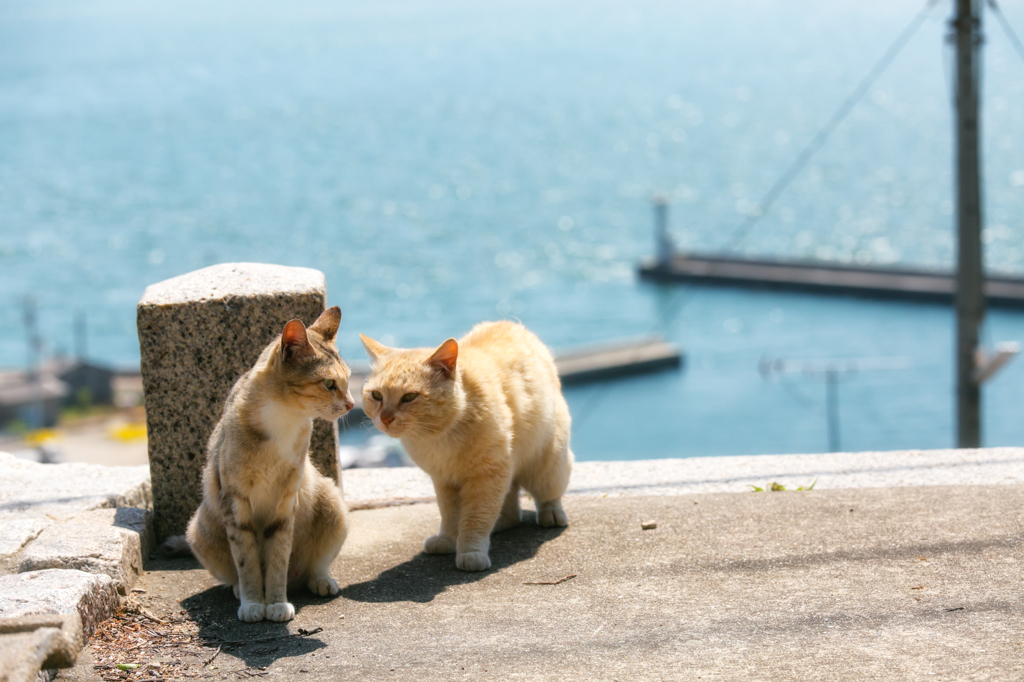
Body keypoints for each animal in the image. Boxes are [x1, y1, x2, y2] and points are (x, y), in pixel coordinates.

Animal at [184, 307, 356, 622]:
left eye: (348, 380)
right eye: (329, 383)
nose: (351, 404)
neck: (284, 417)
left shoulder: (286, 500)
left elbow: (278, 557)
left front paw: (276, 603)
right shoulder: (235, 501)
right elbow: (246, 560)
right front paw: (253, 602)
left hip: (332, 502)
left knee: (311, 566)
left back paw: (319, 580)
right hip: (199, 529)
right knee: (233, 569)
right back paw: (239, 590)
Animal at [360, 319, 573, 569]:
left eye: (409, 397)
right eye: (376, 395)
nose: (385, 418)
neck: (437, 437)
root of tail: (512, 324)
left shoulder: (487, 476)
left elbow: (476, 517)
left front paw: (471, 550)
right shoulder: (445, 480)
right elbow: (450, 514)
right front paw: (448, 539)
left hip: (546, 463)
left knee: (548, 494)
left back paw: (550, 514)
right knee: (511, 511)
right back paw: (499, 523)